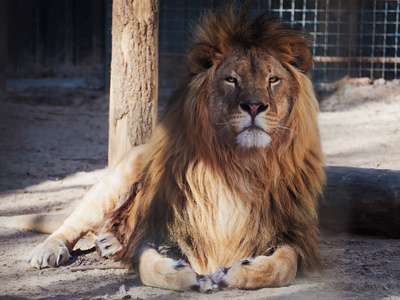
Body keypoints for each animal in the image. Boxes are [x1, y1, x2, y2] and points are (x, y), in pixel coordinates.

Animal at [25, 4, 324, 292]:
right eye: (231, 79)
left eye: (273, 80)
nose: (253, 106)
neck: (241, 165)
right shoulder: (161, 229)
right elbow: (150, 266)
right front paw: (187, 276)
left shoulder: (290, 233)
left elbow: (284, 265)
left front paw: (236, 273)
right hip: (117, 179)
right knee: (73, 223)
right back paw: (49, 251)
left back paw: (110, 242)